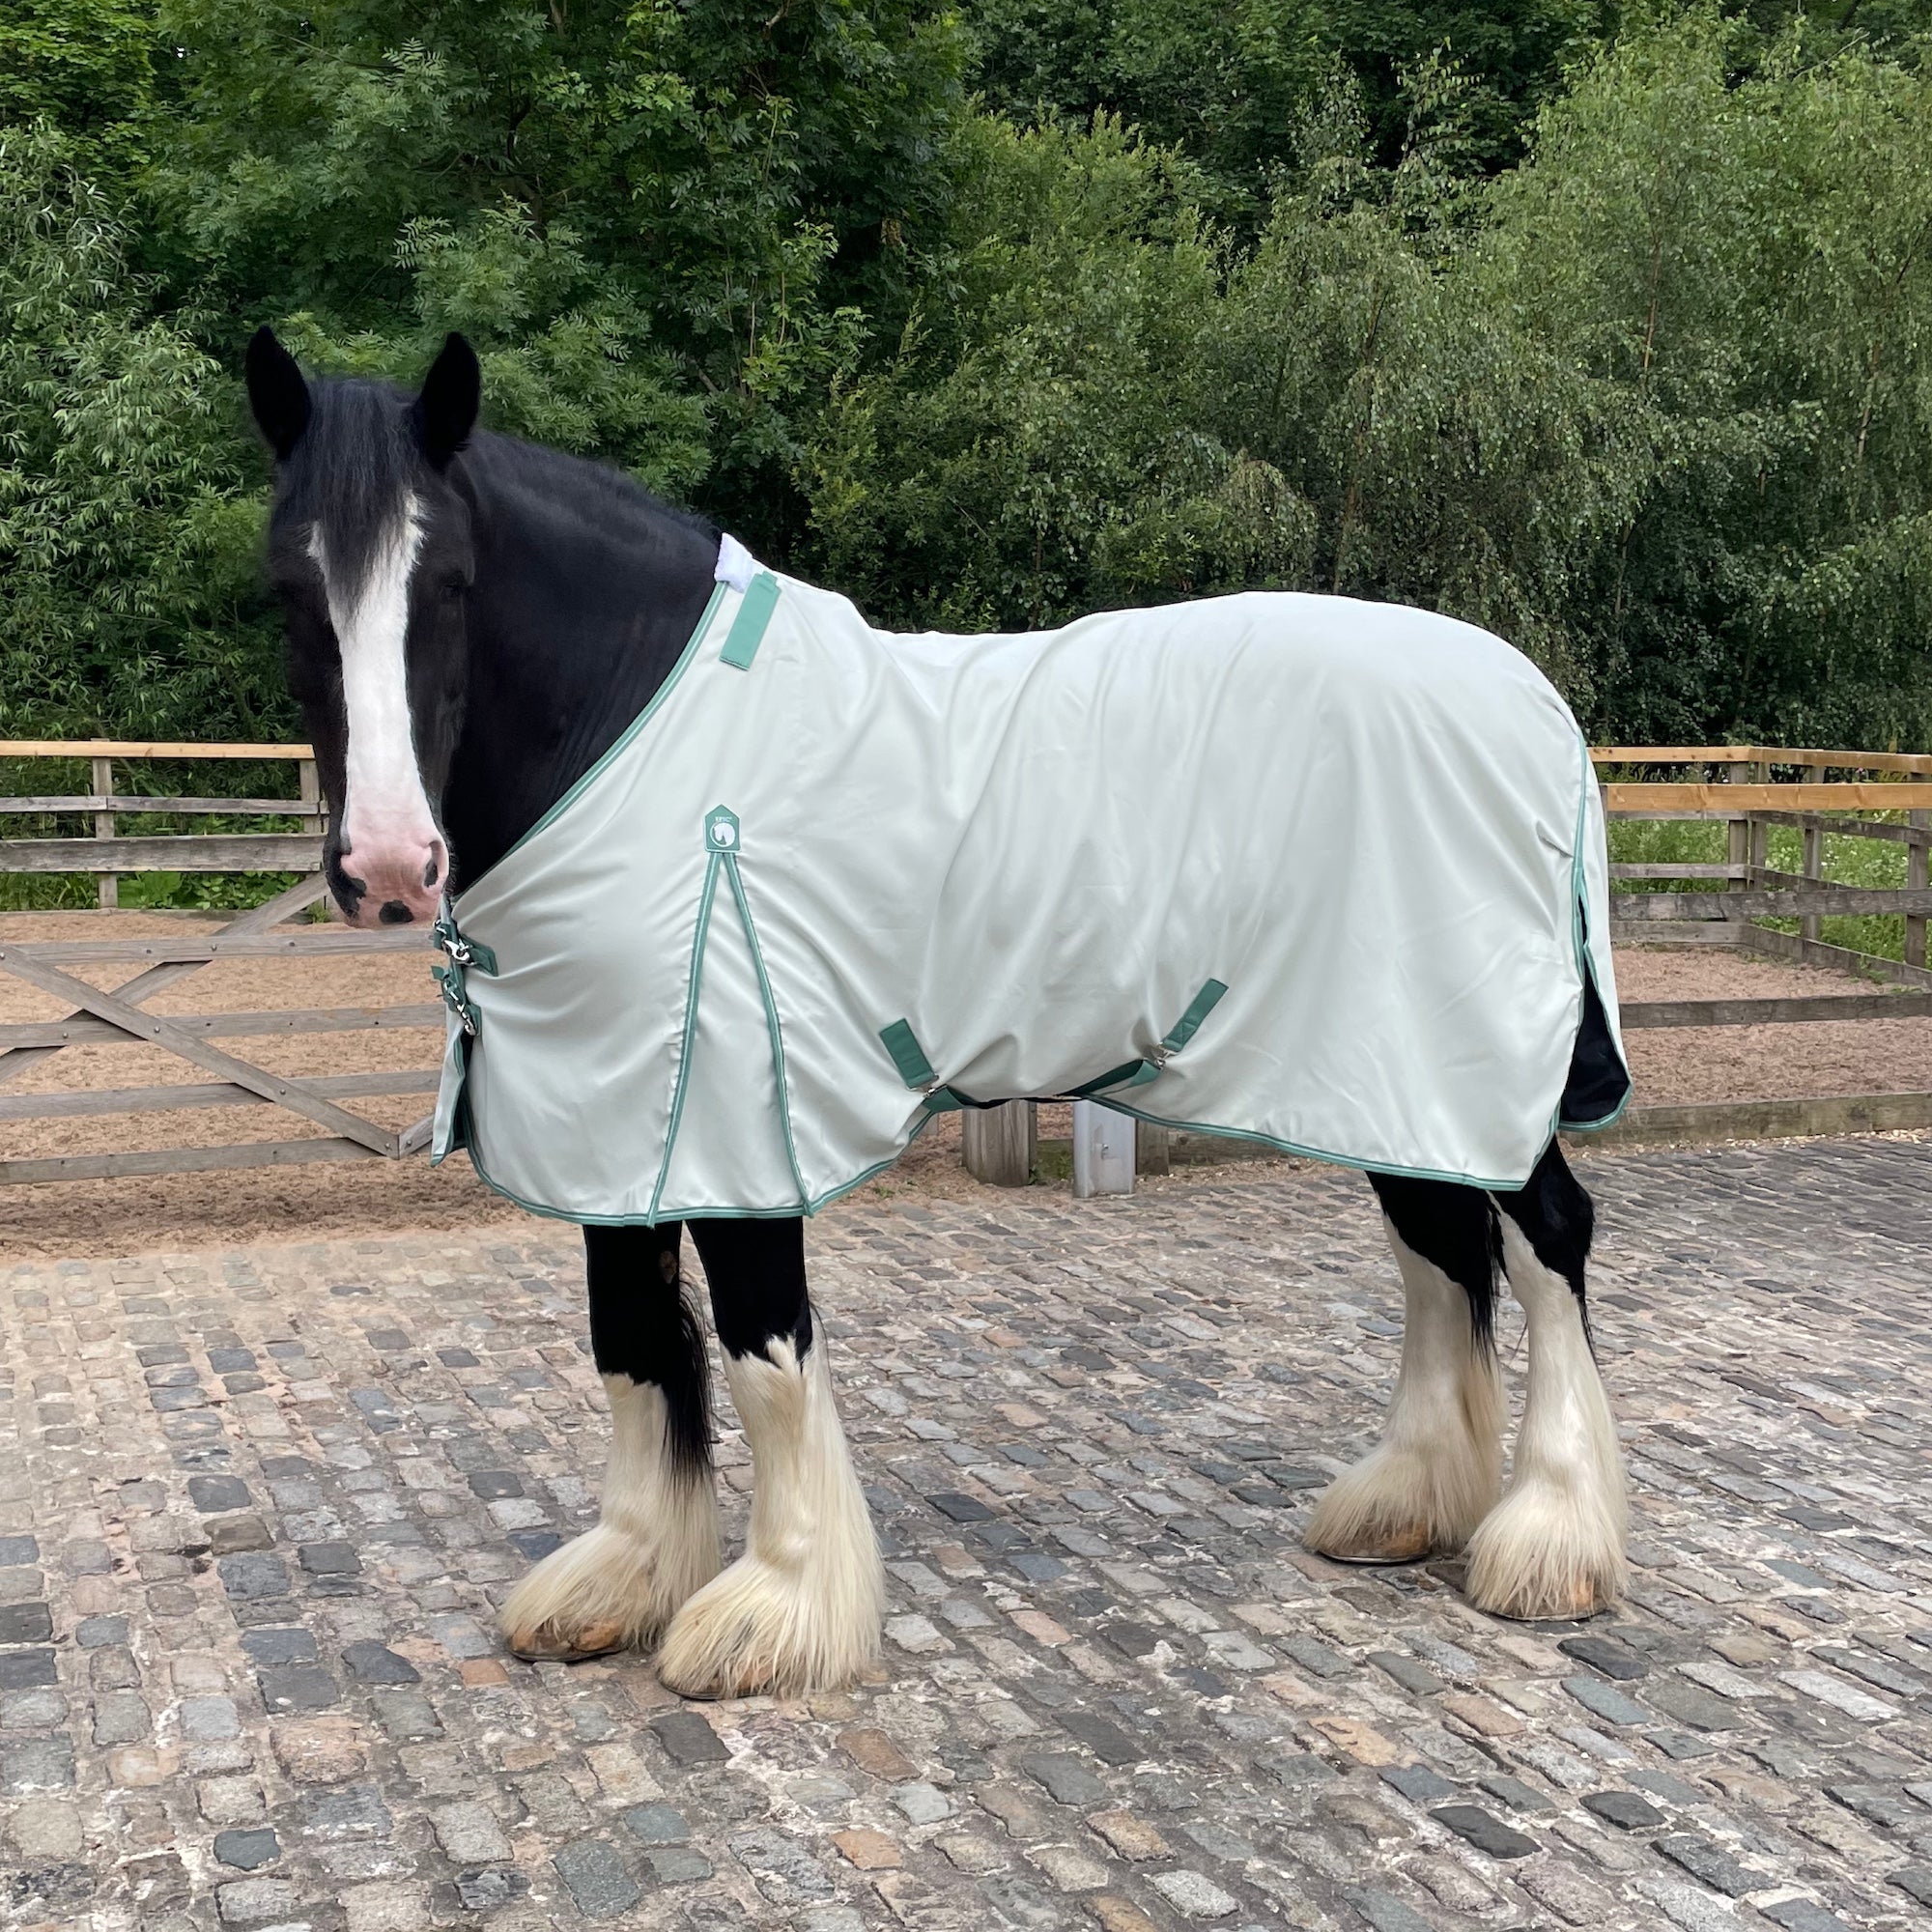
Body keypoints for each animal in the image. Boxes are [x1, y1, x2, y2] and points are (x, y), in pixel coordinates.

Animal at [246, 327, 1631, 1699]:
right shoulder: (609, 1116)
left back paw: (1551, 1537)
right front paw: (626, 1576)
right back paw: (1406, 1504)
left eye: (451, 583)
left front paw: (779, 1606)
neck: (639, 731)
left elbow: (761, 1348)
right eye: (290, 590)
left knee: (1543, 1240)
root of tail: (1532, 703)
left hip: (1464, 1067)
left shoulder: (741, 1124)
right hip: (1385, 1075)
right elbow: (631, 1339)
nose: (386, 866)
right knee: (1437, 1250)